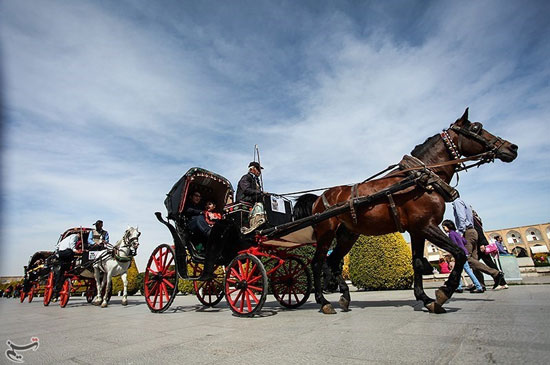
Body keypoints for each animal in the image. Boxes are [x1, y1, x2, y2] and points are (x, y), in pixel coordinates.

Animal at [298, 108, 516, 312]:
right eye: (476, 128)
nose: (512, 147)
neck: (421, 179)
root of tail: (318, 199)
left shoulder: (418, 230)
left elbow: (418, 262)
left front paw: (426, 298)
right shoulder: (427, 225)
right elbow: (460, 253)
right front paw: (443, 292)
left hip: (348, 234)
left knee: (334, 261)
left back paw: (344, 297)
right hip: (326, 232)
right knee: (317, 263)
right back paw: (324, 301)